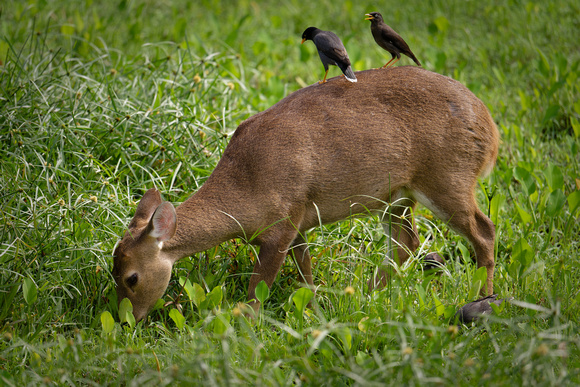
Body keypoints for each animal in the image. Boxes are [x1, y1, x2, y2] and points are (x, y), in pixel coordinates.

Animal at [112, 66, 498, 322]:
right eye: (112, 270)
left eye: (132, 278)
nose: (125, 320)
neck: (247, 187)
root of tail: (490, 129)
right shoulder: (297, 220)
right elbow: (305, 275)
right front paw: (314, 314)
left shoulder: (282, 222)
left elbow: (258, 289)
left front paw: (246, 326)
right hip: (397, 194)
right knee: (407, 241)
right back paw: (361, 297)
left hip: (448, 176)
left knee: (484, 231)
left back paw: (481, 301)